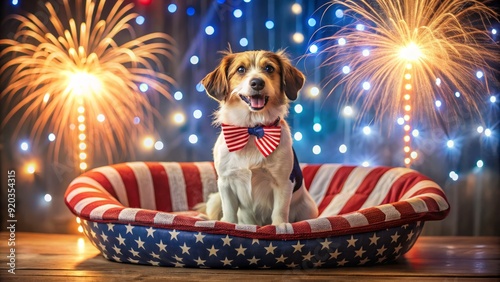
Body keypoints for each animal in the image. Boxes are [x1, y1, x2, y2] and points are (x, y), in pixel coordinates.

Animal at [199, 49, 316, 226]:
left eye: (269, 68)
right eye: (240, 69)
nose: (257, 82)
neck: (252, 129)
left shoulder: (283, 182)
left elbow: (279, 211)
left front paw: (281, 226)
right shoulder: (225, 182)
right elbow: (229, 213)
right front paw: (227, 224)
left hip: (308, 207)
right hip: (215, 200)